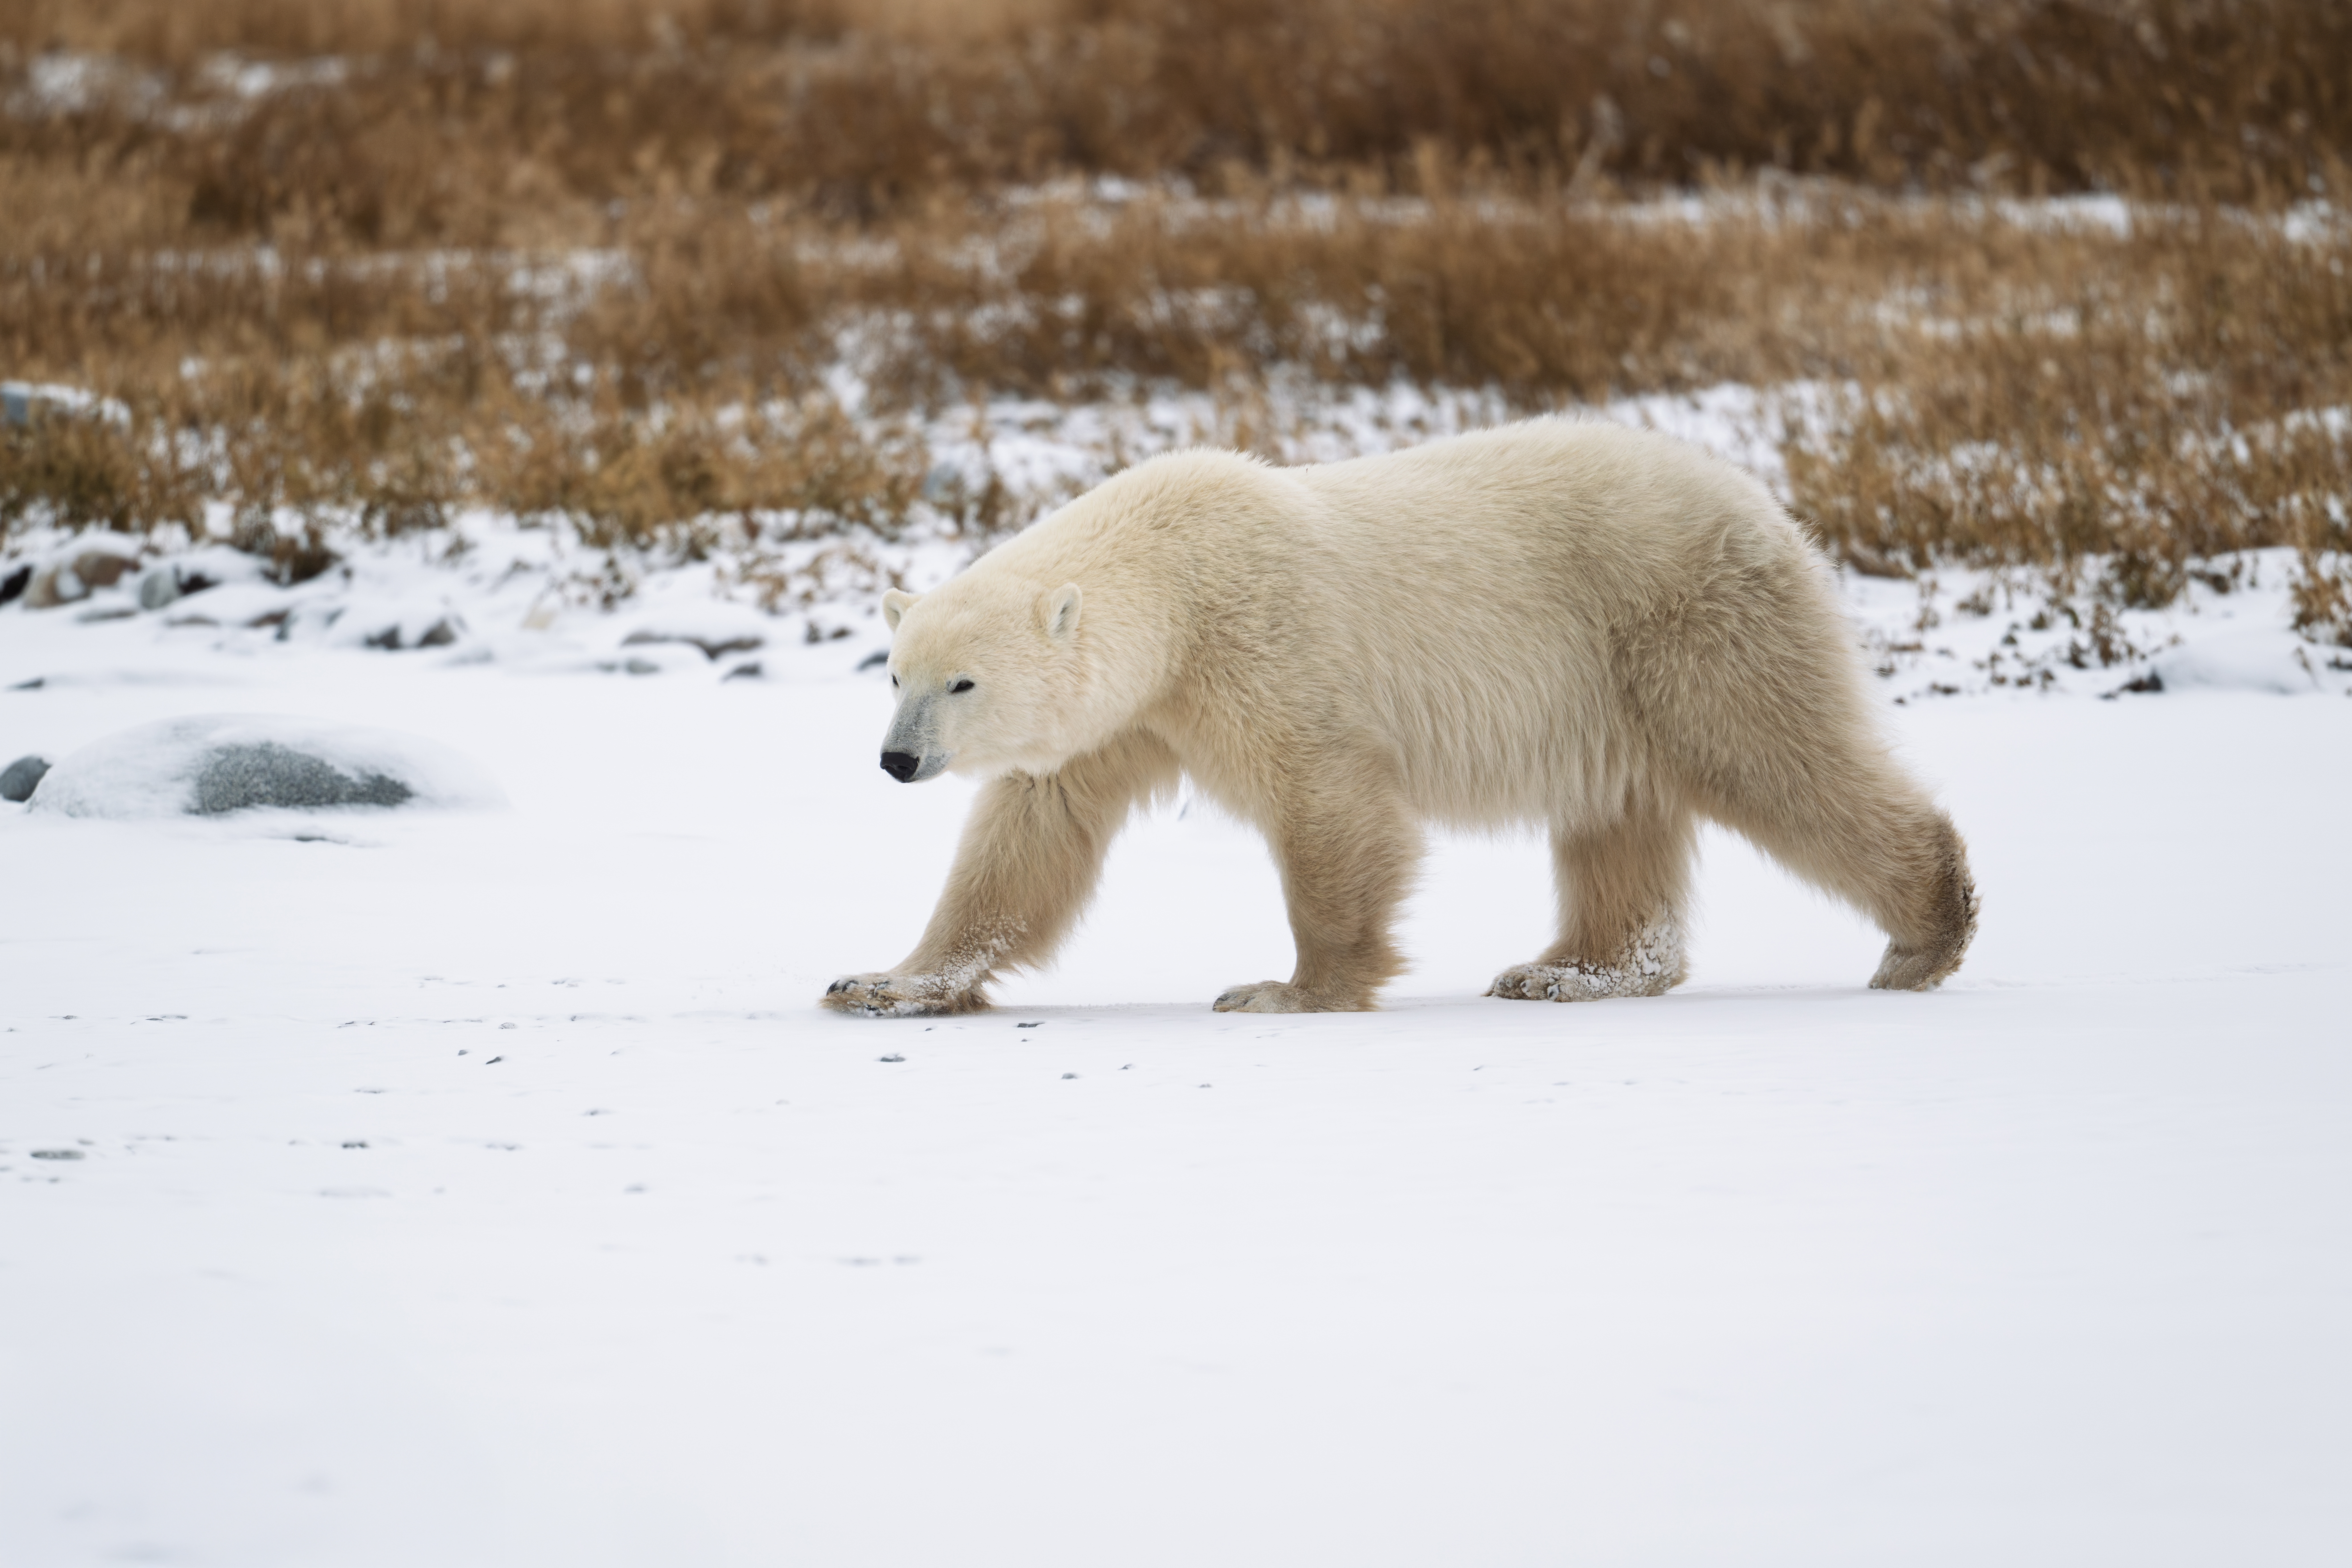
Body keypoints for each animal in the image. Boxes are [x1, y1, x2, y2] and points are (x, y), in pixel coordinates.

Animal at [823, 418, 1977, 1017]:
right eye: (896, 675)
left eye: (963, 683)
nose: (895, 760)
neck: (1175, 580)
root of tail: (1764, 506)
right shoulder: (1127, 717)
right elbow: (1027, 841)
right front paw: (882, 980)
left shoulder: (1264, 649)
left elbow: (1329, 808)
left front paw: (1285, 989)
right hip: (1616, 685)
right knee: (1617, 822)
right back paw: (1566, 971)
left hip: (1683, 629)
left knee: (1778, 764)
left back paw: (1924, 935)